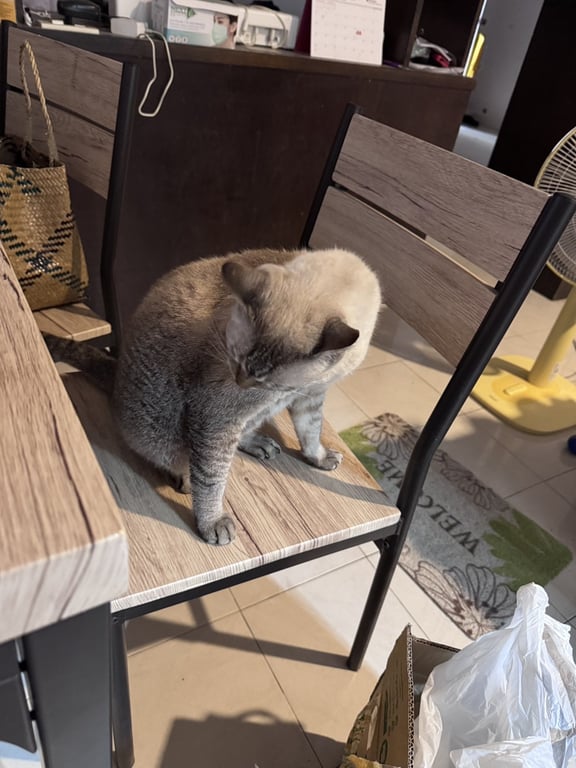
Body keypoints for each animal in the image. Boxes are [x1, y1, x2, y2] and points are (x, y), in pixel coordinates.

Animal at [45, 247, 381, 546]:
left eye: (266, 380)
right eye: (236, 360)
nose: (242, 382)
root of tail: (115, 378)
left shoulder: (309, 396)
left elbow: (310, 433)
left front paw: (320, 458)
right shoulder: (217, 415)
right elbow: (211, 480)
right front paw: (212, 523)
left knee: (241, 438)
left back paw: (258, 443)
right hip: (167, 432)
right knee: (183, 462)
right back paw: (186, 478)